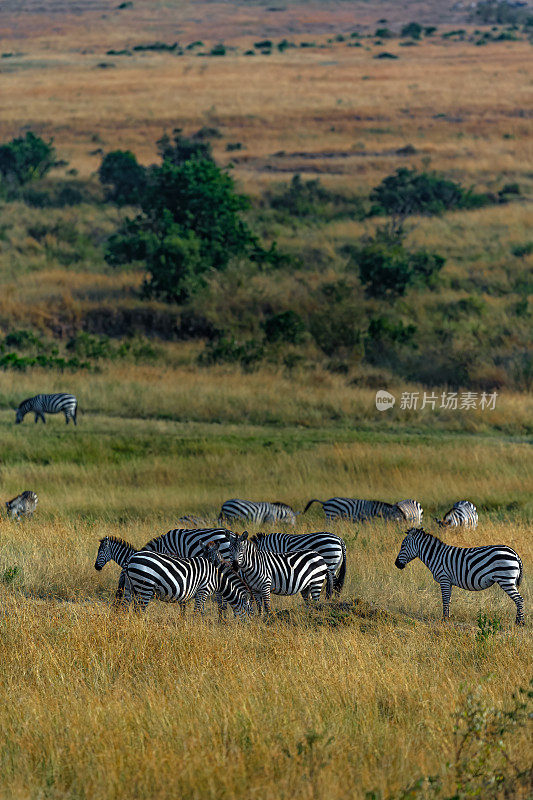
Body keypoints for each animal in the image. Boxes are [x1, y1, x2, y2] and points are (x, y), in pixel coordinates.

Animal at [121, 552, 252, 620]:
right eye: (249, 612)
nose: (249, 629)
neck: (217, 578)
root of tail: (131, 557)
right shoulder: (203, 590)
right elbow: (197, 611)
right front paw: (196, 628)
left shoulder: (200, 593)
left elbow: (200, 612)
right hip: (145, 586)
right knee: (139, 611)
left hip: (130, 586)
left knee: (126, 608)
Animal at [394, 528, 524, 628]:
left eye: (403, 546)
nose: (396, 564)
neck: (436, 556)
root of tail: (515, 554)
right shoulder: (449, 582)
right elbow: (448, 599)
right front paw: (448, 617)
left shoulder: (444, 579)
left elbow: (445, 599)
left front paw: (444, 619)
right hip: (508, 580)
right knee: (519, 600)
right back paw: (518, 622)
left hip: (505, 580)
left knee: (519, 599)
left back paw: (520, 623)